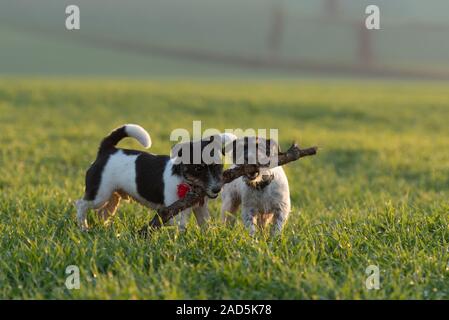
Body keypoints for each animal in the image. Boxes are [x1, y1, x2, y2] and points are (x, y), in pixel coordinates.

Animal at [75, 124, 231, 231]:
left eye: (218, 166)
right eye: (198, 168)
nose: (217, 189)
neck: (185, 182)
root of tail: (107, 150)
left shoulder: (200, 208)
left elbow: (206, 224)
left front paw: (210, 237)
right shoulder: (174, 211)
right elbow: (180, 228)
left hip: (112, 196)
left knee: (102, 212)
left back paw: (104, 227)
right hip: (100, 194)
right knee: (81, 204)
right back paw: (83, 227)